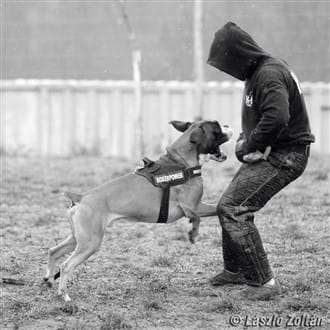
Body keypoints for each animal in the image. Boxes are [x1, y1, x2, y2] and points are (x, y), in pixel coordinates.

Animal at [43, 119, 233, 302]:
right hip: (90, 242)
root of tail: (81, 197)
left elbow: (217, 209)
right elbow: (201, 216)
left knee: (54, 251)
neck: (181, 161)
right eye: (216, 128)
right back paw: (64, 295)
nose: (228, 125)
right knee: (66, 265)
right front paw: (193, 234)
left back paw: (49, 279)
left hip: (78, 238)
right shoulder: (192, 207)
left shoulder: (195, 207)